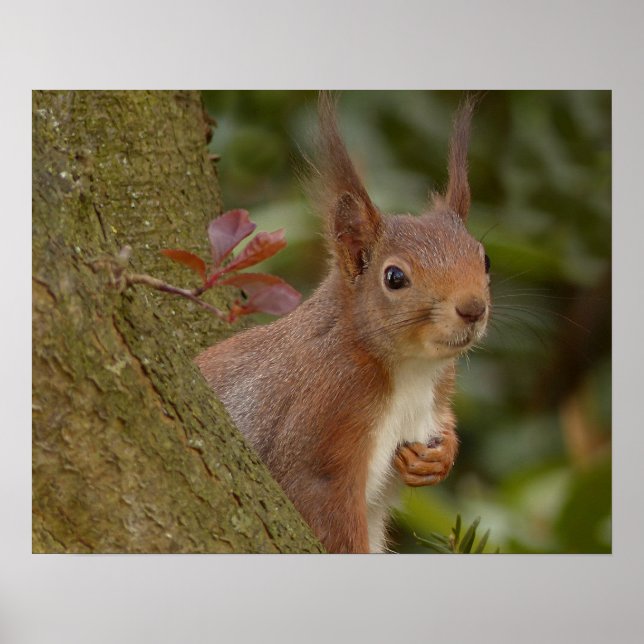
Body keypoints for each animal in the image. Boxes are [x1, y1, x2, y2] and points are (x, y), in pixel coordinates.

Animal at [196, 93, 491, 553]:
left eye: (486, 259)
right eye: (394, 277)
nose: (473, 308)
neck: (411, 369)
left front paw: (437, 458)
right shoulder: (325, 417)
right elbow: (323, 507)